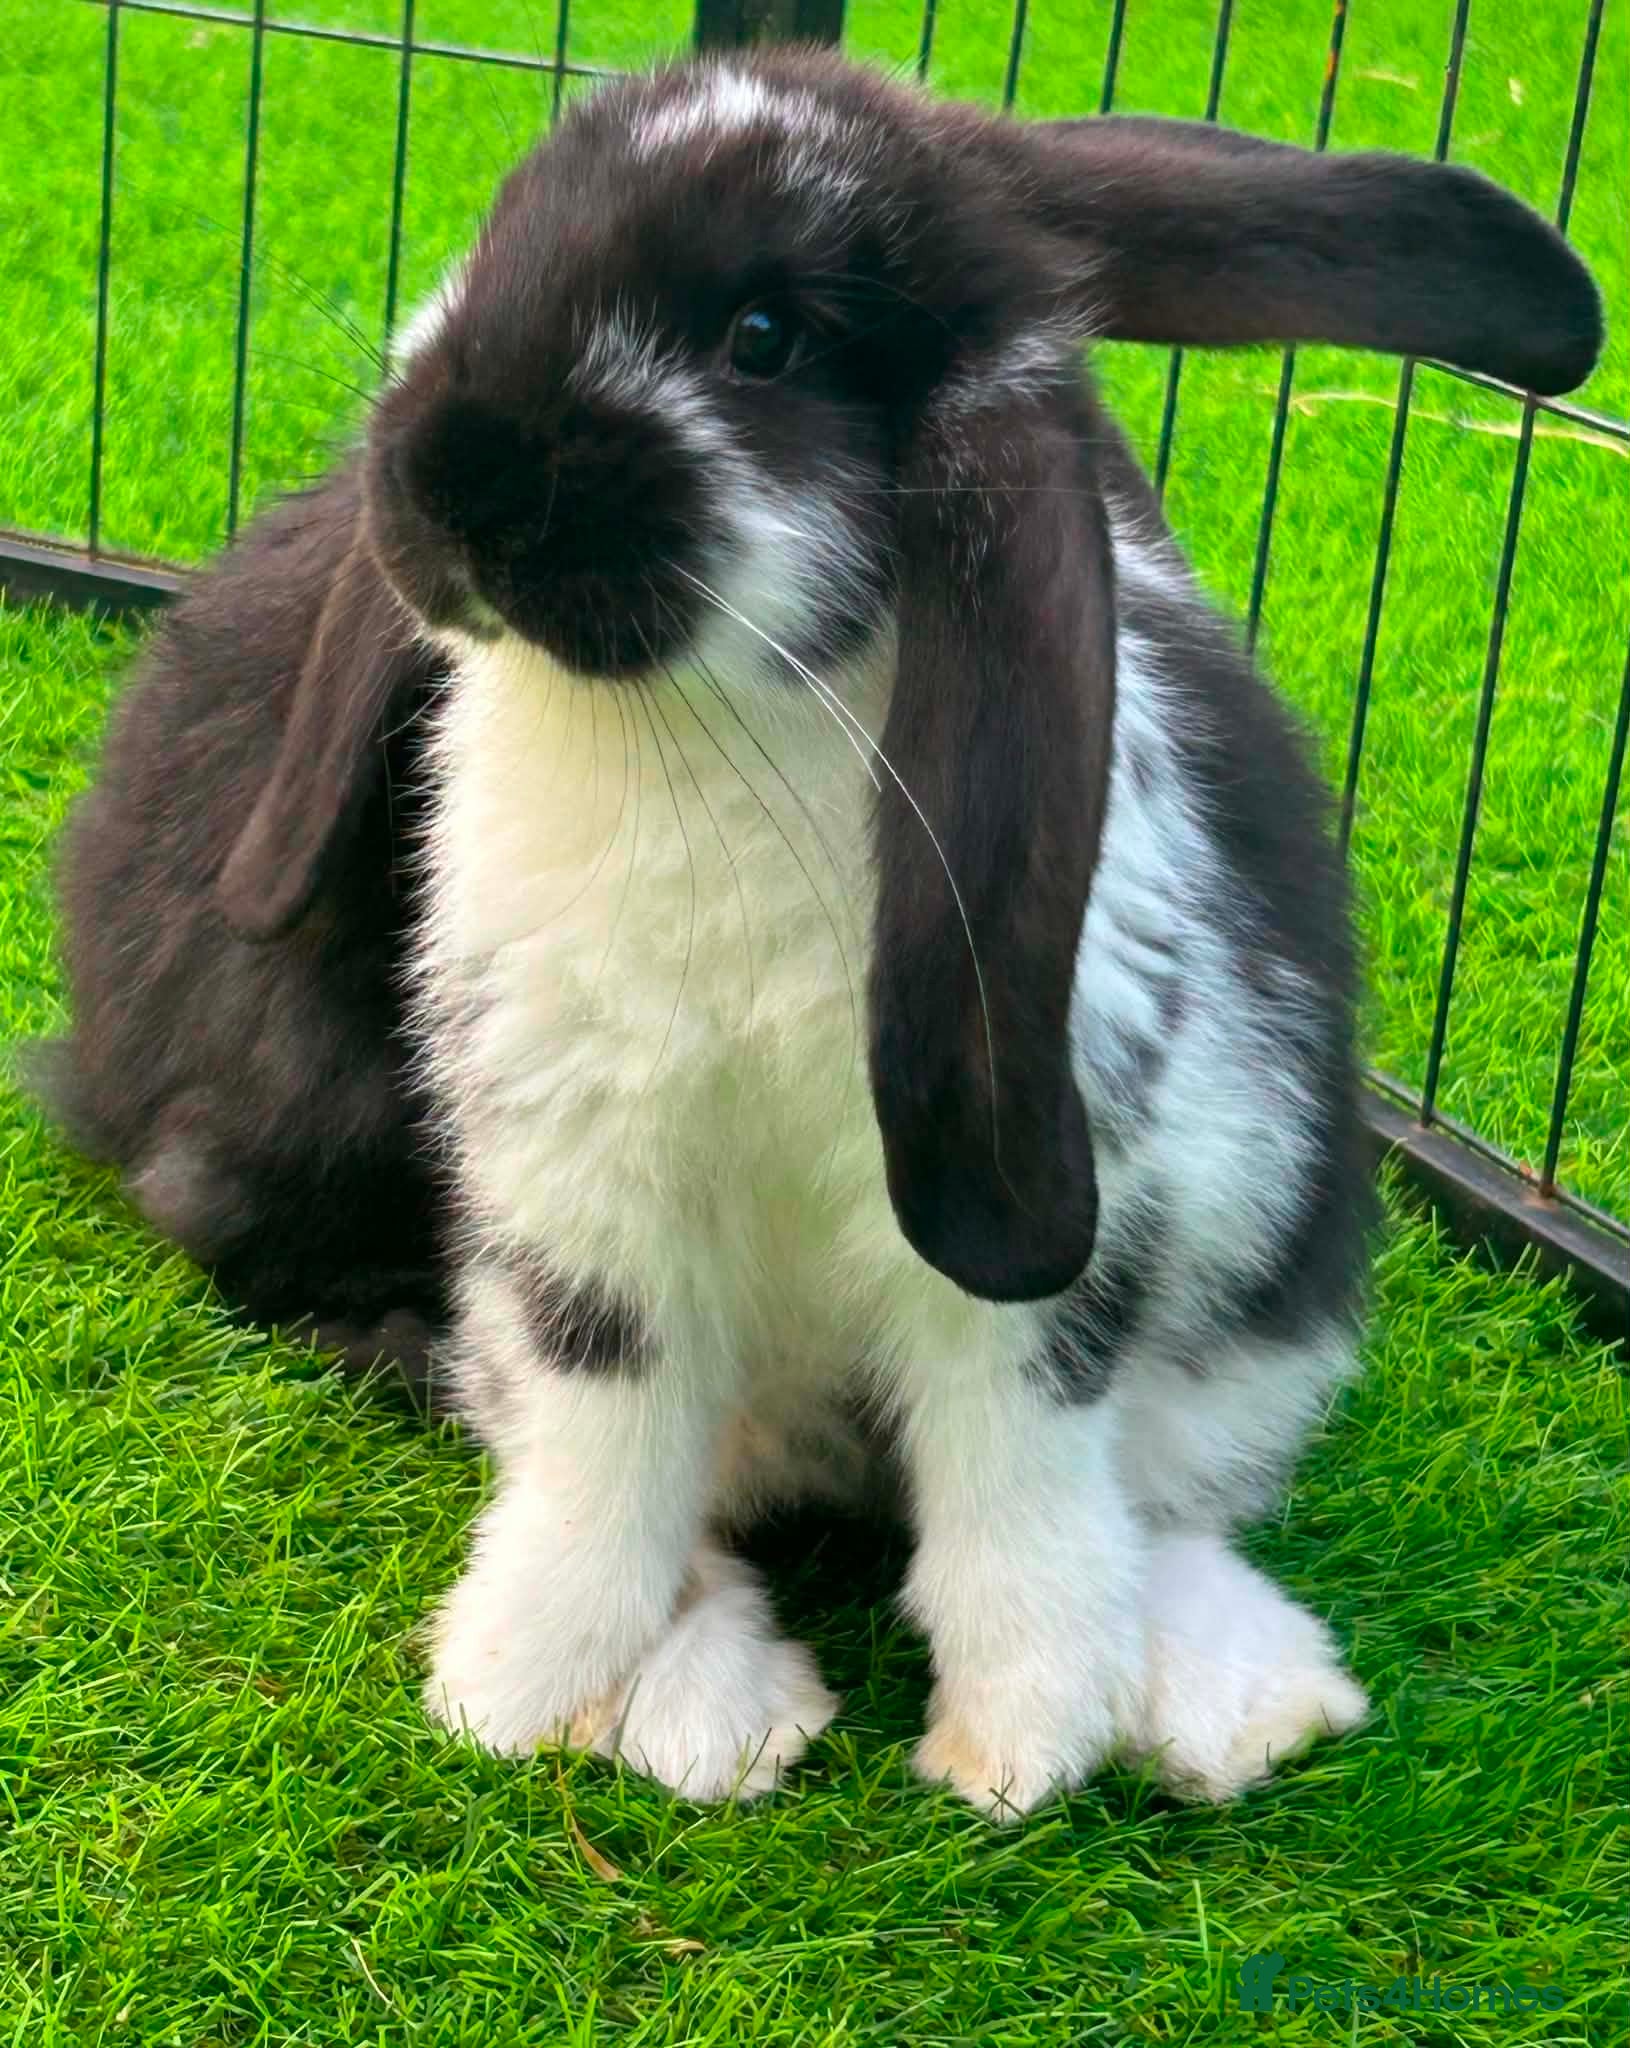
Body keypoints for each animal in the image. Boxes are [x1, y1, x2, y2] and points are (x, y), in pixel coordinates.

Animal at [43, 49, 1600, 1815]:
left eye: (762, 336)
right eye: (504, 235)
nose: (447, 478)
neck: (690, 726)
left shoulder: (1051, 1225)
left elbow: (1019, 1480)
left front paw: (1022, 1746)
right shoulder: (580, 1197)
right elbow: (601, 1452)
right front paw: (517, 1690)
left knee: (1161, 1483)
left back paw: (1226, 1696)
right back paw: (710, 1710)